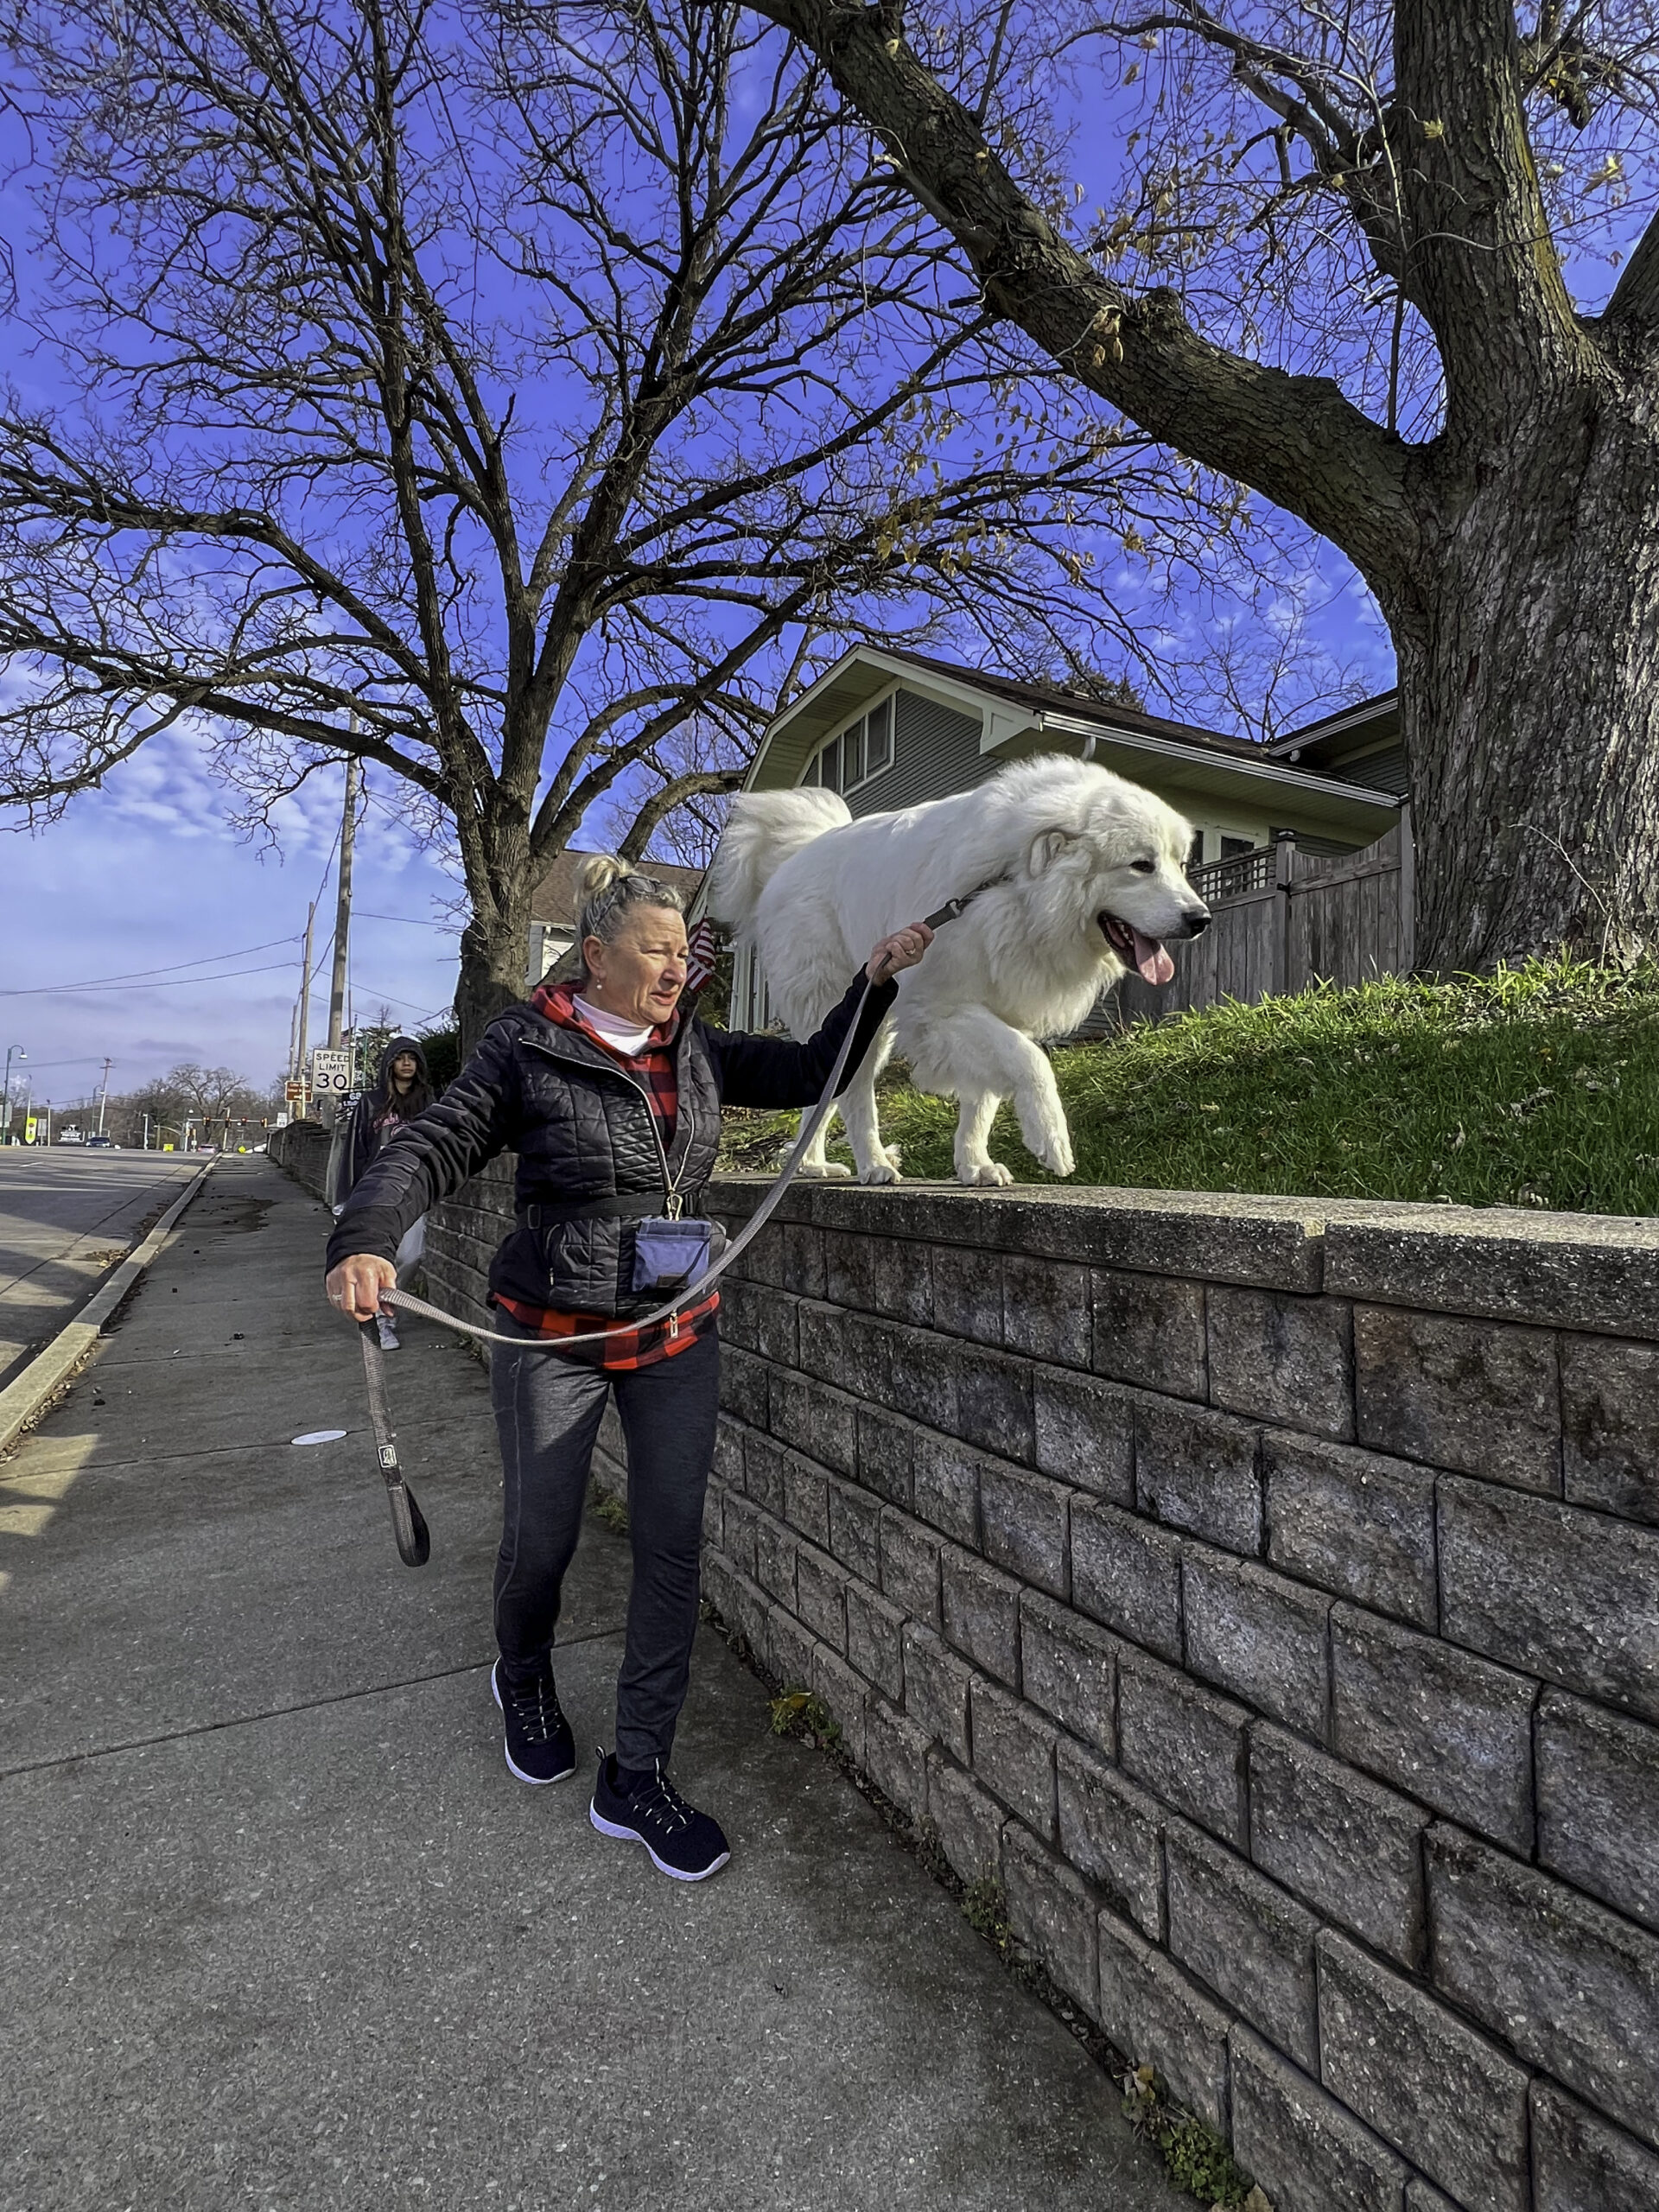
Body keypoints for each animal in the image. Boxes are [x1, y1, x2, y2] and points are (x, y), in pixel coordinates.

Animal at [708, 752, 1211, 1185]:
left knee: (823, 1091)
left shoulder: (995, 1009)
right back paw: (873, 1165)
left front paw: (974, 1165)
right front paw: (1050, 1139)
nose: (1201, 919)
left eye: (1180, 864)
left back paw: (811, 1165)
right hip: (852, 1015)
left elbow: (983, 1099)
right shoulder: (941, 1010)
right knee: (853, 1096)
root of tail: (797, 853)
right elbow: (1031, 1062)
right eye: (1141, 865)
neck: (1015, 888)